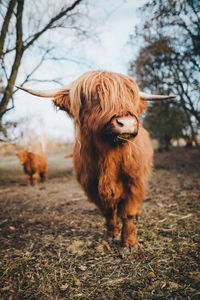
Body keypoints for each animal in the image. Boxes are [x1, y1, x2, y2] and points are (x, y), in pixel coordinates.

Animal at [17, 70, 175, 246]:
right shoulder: (92, 185)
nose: (127, 123)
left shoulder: (135, 181)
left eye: (130, 94)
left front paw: (129, 242)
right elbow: (108, 211)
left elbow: (128, 212)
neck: (109, 157)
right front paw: (112, 234)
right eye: (92, 96)